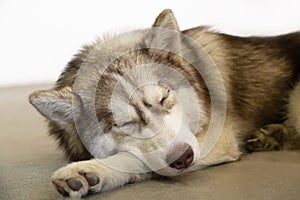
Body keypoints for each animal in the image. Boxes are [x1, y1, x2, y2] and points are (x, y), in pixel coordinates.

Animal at [28, 9, 300, 197]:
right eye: (124, 124)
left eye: (164, 98)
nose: (184, 158)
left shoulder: (218, 140)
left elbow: (142, 160)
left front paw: (94, 170)